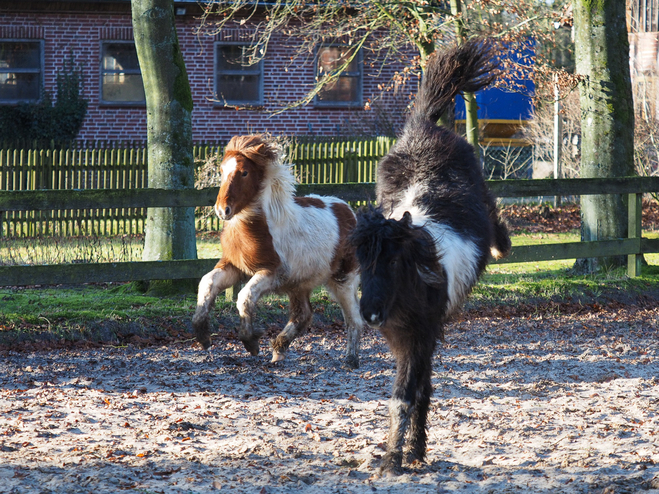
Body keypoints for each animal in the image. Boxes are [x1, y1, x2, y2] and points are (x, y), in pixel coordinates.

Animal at [191, 134, 366, 366]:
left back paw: (351, 359)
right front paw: (202, 334)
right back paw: (278, 350)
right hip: (299, 283)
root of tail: (348, 211)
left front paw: (250, 341)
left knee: (353, 318)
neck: (257, 228)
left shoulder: (272, 272)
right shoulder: (234, 266)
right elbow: (207, 282)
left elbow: (245, 296)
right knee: (303, 315)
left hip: (343, 279)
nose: (222, 211)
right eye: (221, 170)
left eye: (244, 172)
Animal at [350, 39, 510, 474]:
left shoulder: (421, 334)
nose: (370, 314)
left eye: (392, 262)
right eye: (360, 262)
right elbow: (411, 391)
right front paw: (408, 451)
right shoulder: (402, 338)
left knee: (493, 211)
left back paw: (501, 243)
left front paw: (397, 458)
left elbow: (408, 393)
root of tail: (423, 126)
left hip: (480, 189)